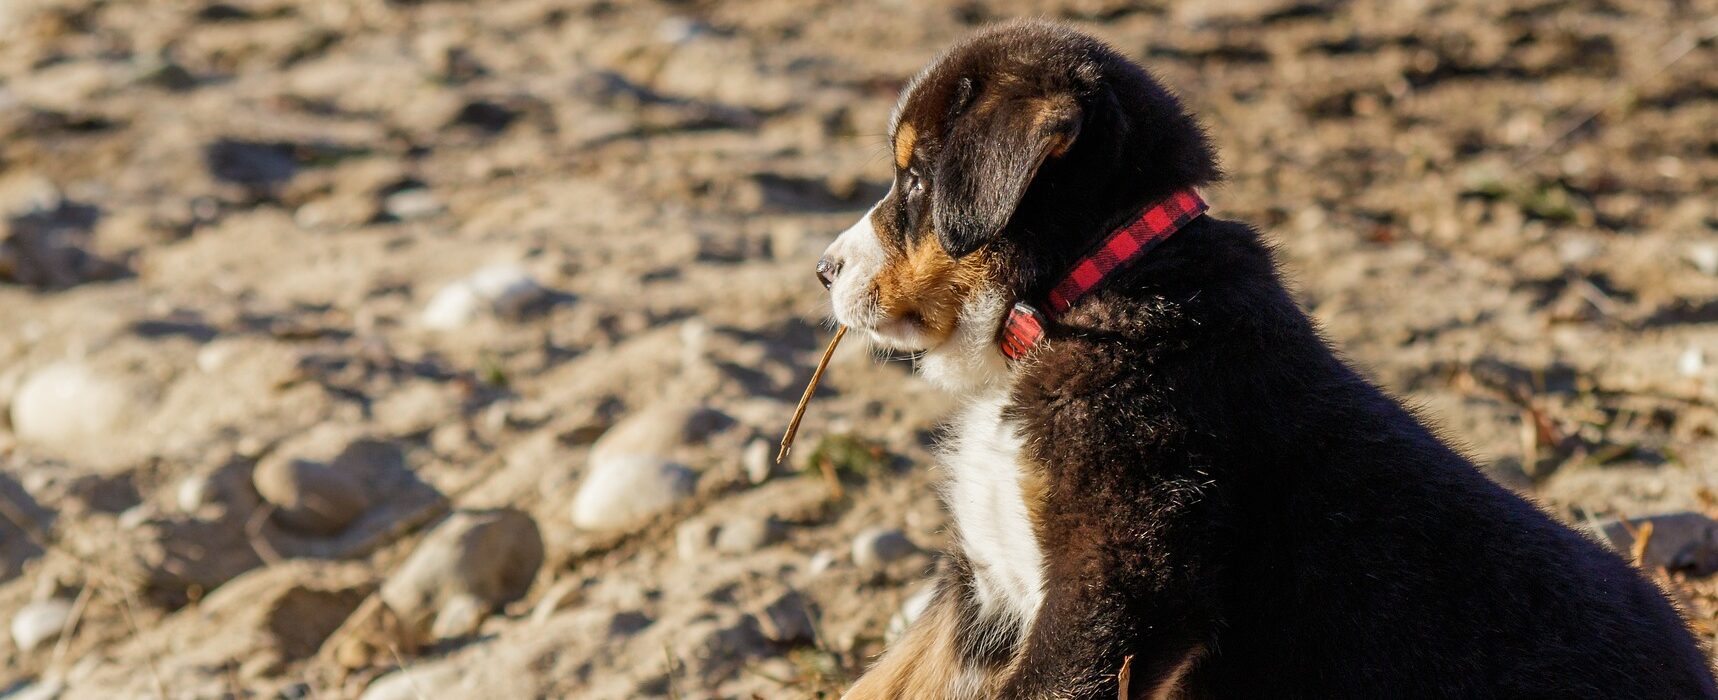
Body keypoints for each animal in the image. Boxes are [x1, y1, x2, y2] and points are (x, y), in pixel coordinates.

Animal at [821, 19, 1718, 698]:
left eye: (914, 180)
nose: (825, 269)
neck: (1079, 298)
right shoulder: (982, 588)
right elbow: (887, 677)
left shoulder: (1112, 589)